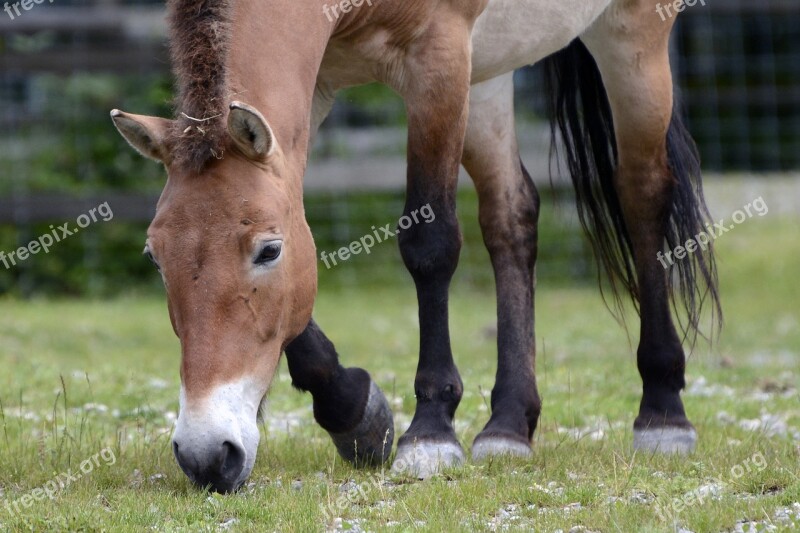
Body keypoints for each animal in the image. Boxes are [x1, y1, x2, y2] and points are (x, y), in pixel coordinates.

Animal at [111, 0, 720, 492]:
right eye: (156, 258)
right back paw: (508, 427)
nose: (207, 455)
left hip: (631, 33)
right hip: (487, 74)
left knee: (642, 195)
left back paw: (663, 413)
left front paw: (430, 433)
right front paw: (355, 413)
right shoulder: (318, 88)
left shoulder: (437, 57)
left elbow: (430, 244)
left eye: (268, 252)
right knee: (511, 213)